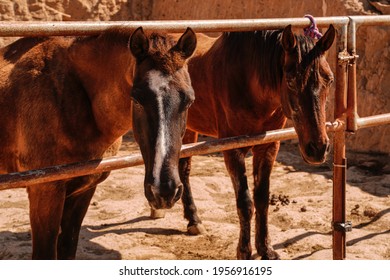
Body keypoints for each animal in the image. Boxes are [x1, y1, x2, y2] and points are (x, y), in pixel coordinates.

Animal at [175, 25, 334, 260]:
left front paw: (266, 249)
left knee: (184, 169)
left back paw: (193, 220)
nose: (318, 148)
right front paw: (244, 250)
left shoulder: (268, 146)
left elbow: (261, 199)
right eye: (291, 81)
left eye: (329, 80)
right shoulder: (232, 150)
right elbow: (245, 202)